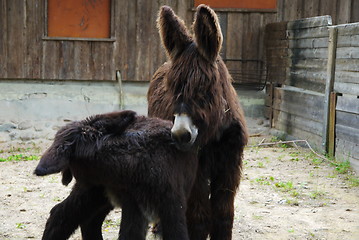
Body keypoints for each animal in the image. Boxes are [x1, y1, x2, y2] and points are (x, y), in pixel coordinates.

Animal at [35, 110, 198, 240]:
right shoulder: (138, 205)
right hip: (94, 191)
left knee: (78, 218)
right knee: (64, 215)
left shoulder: (168, 205)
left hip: (96, 193)